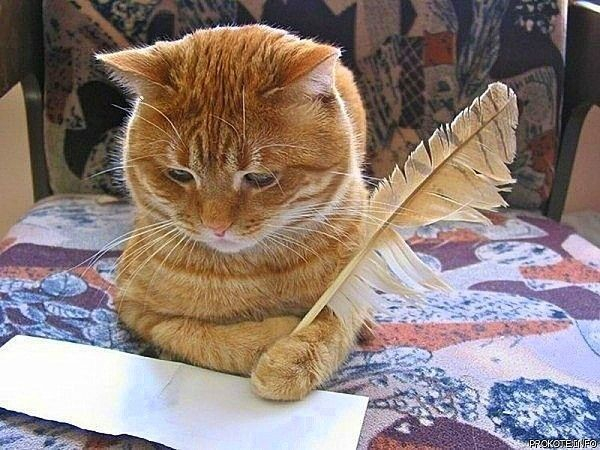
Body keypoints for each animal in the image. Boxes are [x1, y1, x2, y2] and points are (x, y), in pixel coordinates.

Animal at [98, 25, 368, 400]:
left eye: (260, 178)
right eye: (179, 174)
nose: (216, 226)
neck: (253, 272)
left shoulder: (352, 284)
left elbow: (333, 327)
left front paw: (292, 360)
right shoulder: (134, 307)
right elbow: (197, 336)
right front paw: (276, 333)